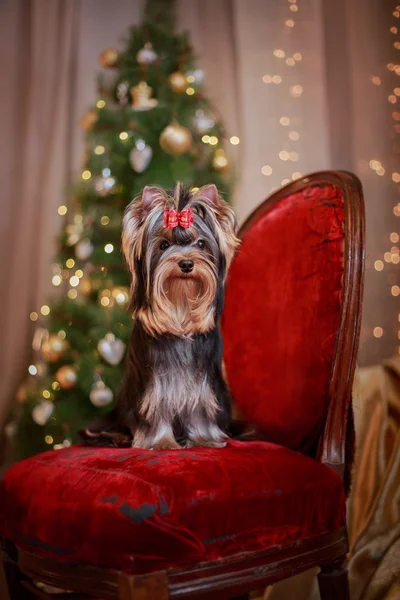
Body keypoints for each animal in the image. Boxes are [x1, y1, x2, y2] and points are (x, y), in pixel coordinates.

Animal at [83, 183, 239, 450]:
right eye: (164, 245)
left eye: (201, 244)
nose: (186, 263)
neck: (181, 309)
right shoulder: (153, 385)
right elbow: (156, 409)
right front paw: (162, 443)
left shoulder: (203, 384)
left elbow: (200, 409)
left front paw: (204, 440)